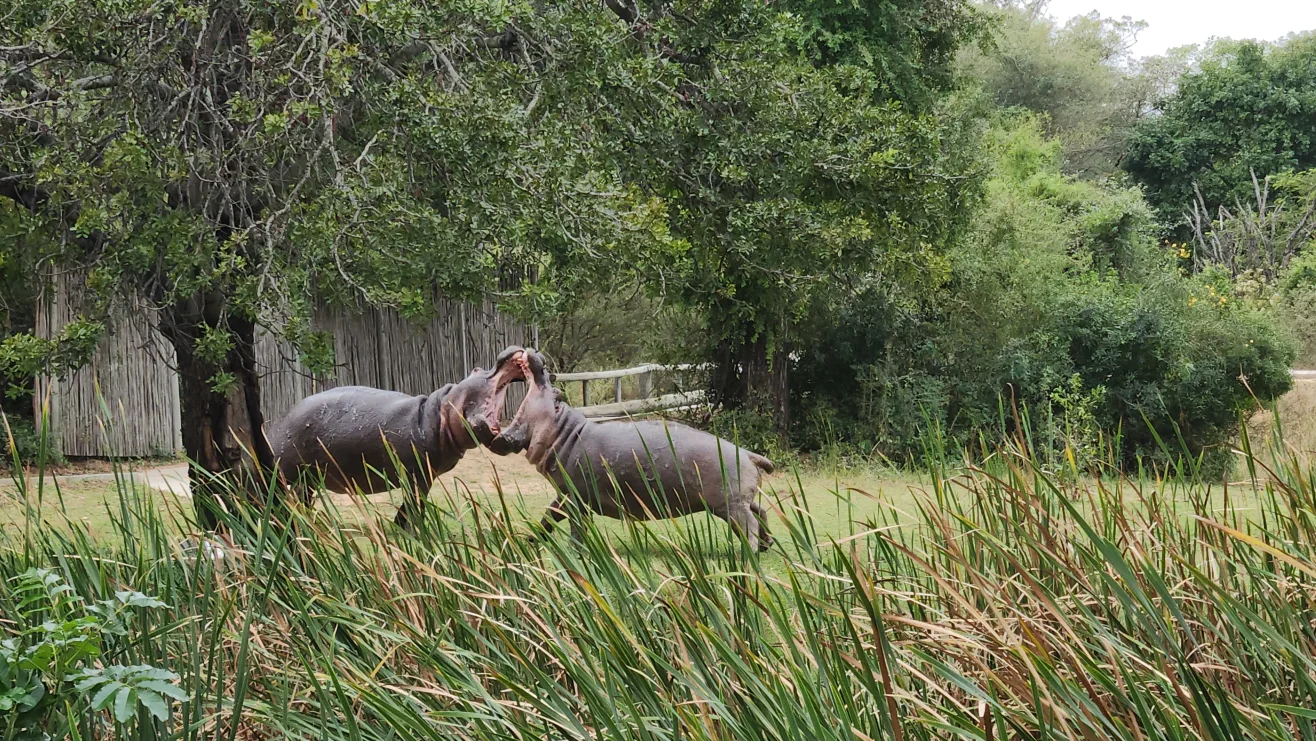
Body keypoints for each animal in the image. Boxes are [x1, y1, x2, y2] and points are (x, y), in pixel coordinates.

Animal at [266, 346, 530, 528]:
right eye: (477, 370)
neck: (442, 411)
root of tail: (280, 420)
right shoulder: (415, 475)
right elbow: (413, 504)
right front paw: (414, 530)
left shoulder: (425, 476)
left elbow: (414, 504)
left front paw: (404, 526)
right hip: (288, 465)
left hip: (309, 476)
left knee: (302, 497)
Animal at [491, 350, 775, 551]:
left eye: (556, 392)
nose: (539, 356)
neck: (563, 432)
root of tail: (748, 453)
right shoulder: (564, 495)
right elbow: (549, 517)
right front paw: (530, 540)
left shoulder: (577, 498)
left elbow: (576, 526)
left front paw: (575, 551)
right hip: (740, 499)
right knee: (760, 511)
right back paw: (766, 545)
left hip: (731, 505)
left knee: (749, 524)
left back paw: (748, 555)